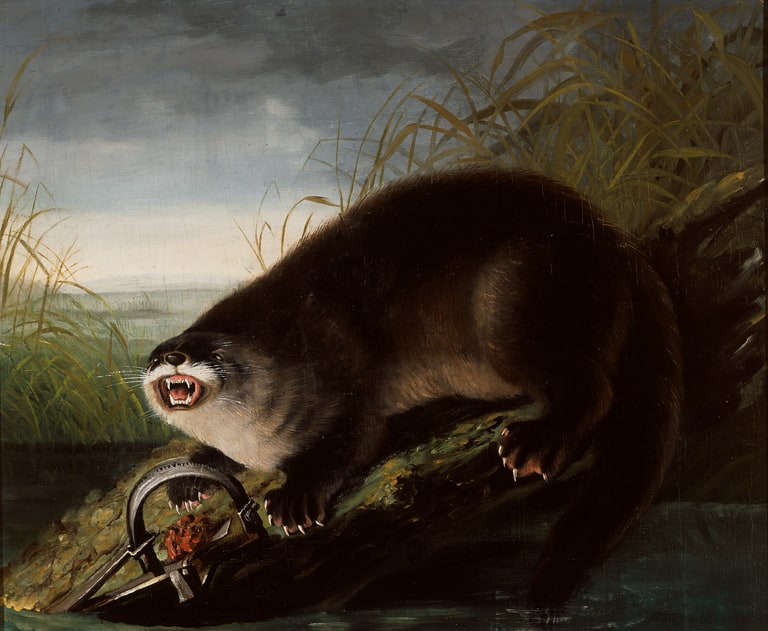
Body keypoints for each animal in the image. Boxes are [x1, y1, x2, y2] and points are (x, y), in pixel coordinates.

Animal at [144, 166, 682, 606]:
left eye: (206, 350)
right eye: (157, 353)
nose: (165, 356)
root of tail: (613, 245)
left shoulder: (336, 376)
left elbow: (355, 439)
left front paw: (295, 497)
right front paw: (189, 479)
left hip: (516, 294)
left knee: (593, 387)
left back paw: (540, 441)